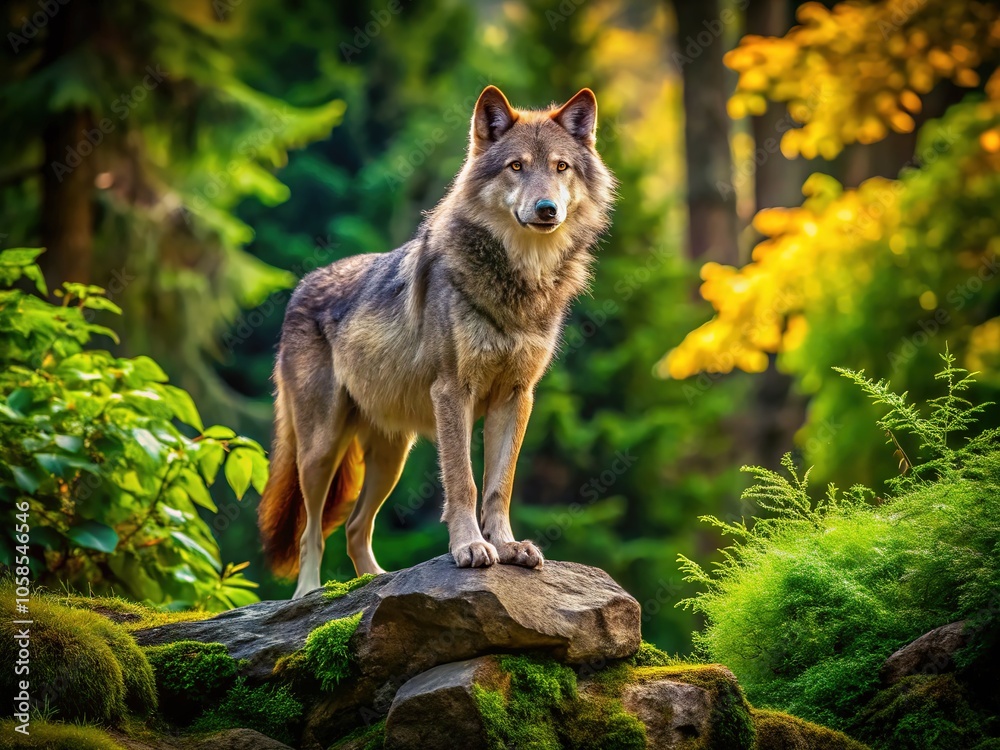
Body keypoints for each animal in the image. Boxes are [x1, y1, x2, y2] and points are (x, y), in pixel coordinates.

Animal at [258, 85, 615, 598]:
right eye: (517, 166)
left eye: (561, 166)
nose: (547, 208)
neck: (519, 282)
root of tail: (303, 284)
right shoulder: (453, 392)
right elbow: (464, 482)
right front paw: (470, 548)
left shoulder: (516, 397)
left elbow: (498, 485)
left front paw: (508, 547)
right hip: (321, 450)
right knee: (313, 531)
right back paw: (308, 594)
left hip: (391, 458)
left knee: (354, 528)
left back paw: (375, 583)